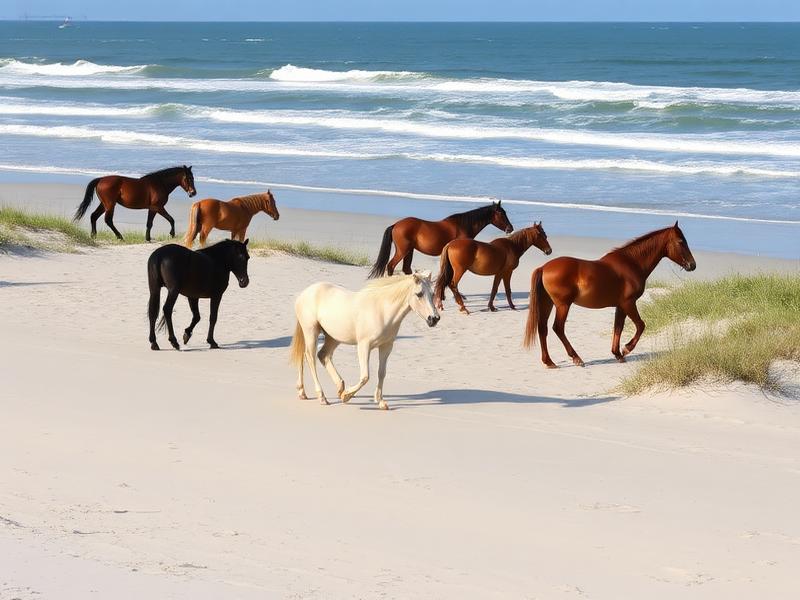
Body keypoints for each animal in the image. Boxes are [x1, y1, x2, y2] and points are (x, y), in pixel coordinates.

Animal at [289, 271, 440, 410]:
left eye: (433, 294)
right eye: (419, 294)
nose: (434, 319)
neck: (382, 311)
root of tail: (305, 292)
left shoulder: (386, 347)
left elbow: (381, 373)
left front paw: (380, 401)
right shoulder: (364, 346)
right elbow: (365, 376)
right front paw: (346, 396)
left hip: (333, 337)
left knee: (321, 355)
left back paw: (321, 390)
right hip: (311, 331)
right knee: (310, 357)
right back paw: (322, 397)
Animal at [368, 201, 514, 278]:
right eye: (501, 214)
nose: (510, 228)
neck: (463, 225)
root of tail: (396, 225)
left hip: (409, 251)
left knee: (406, 269)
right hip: (402, 251)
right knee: (391, 266)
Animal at [523, 222, 696, 368]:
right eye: (681, 242)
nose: (692, 265)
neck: (632, 263)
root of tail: (544, 267)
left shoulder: (621, 306)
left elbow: (618, 328)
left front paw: (618, 354)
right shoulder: (629, 303)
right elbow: (640, 325)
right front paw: (626, 349)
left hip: (548, 303)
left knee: (542, 328)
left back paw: (549, 361)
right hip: (563, 305)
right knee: (558, 328)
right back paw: (576, 358)